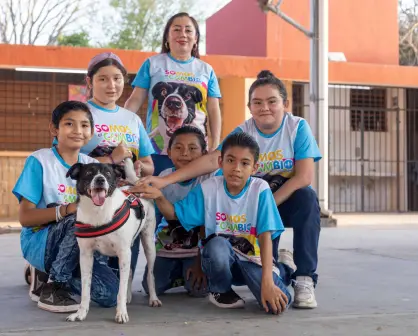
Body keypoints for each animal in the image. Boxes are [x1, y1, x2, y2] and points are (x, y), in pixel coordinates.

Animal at [65, 161, 162, 324]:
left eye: (108, 173)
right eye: (89, 173)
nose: (100, 179)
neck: (98, 212)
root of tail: (134, 185)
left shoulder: (123, 252)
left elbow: (120, 290)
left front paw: (121, 313)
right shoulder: (86, 255)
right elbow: (85, 289)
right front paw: (80, 313)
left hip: (148, 243)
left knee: (150, 273)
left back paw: (153, 298)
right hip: (128, 249)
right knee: (130, 271)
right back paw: (129, 297)